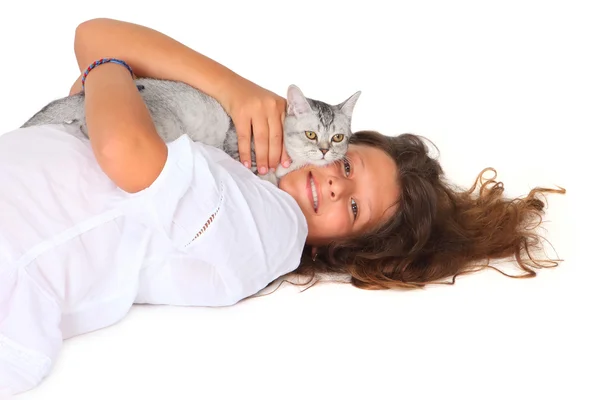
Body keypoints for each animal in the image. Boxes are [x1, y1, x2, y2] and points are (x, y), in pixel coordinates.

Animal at [22, 77, 360, 183]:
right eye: (311, 134)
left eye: (337, 137)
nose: (325, 151)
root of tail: (83, 95)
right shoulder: (239, 147)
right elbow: (262, 175)